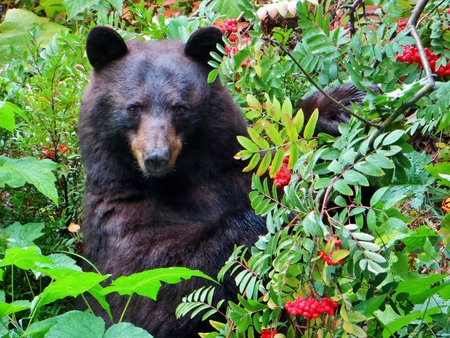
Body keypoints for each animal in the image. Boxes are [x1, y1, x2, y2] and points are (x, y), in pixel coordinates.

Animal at [77, 25, 268, 336]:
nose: (156, 157)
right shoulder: (117, 218)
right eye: (133, 108)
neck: (174, 181)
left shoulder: (228, 173)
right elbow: (162, 278)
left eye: (180, 108)